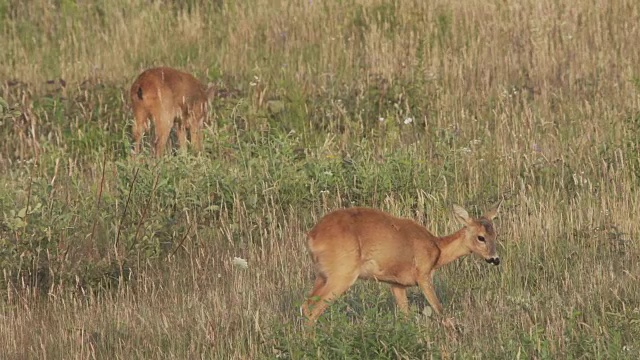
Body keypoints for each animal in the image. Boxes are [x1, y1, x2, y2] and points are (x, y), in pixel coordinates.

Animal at [302, 202, 502, 324]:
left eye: (495, 235)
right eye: (481, 237)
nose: (495, 259)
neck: (437, 249)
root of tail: (312, 237)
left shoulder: (396, 283)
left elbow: (406, 315)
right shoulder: (423, 275)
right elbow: (440, 309)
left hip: (322, 274)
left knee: (306, 305)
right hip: (342, 273)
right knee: (313, 310)